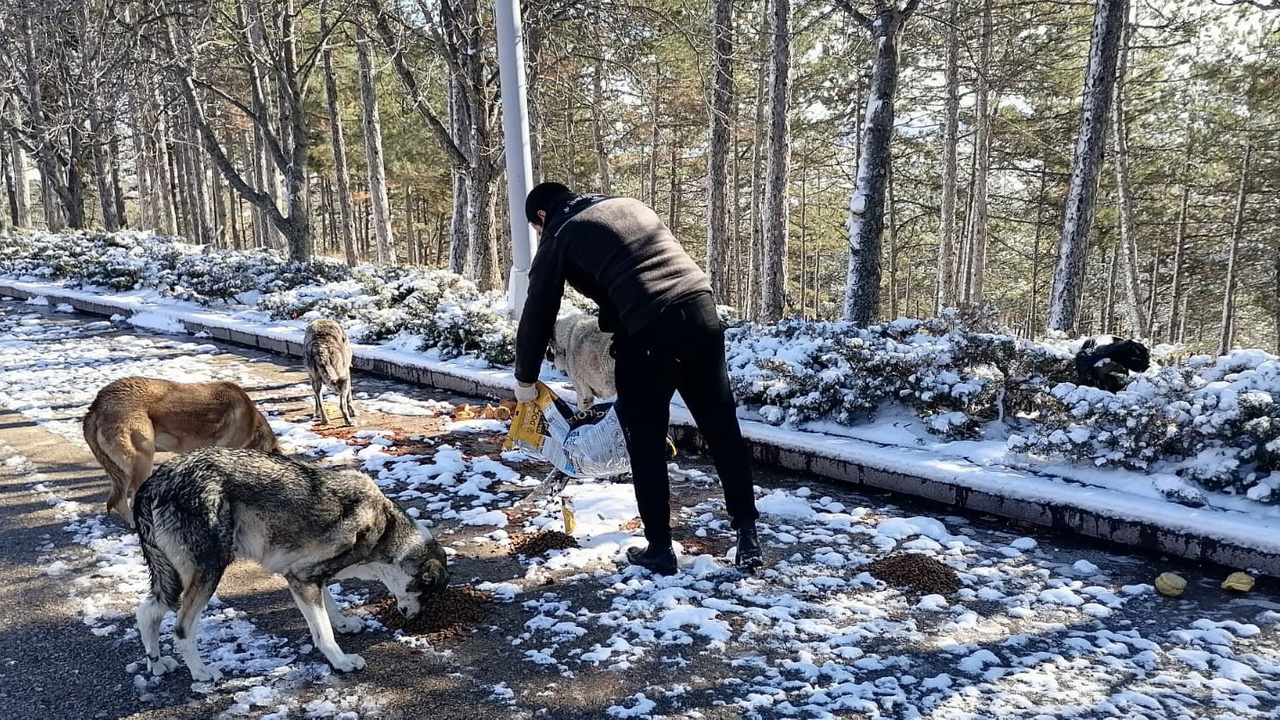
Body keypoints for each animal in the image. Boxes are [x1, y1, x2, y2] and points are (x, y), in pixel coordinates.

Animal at [135, 445, 450, 681]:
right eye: (426, 593)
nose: (415, 618)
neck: (385, 528)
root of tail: (154, 482)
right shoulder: (302, 578)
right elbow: (324, 632)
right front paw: (342, 662)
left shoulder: (311, 577)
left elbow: (329, 607)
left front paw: (344, 624)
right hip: (208, 573)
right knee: (181, 628)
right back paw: (200, 672)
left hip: (174, 579)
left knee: (147, 612)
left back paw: (156, 662)